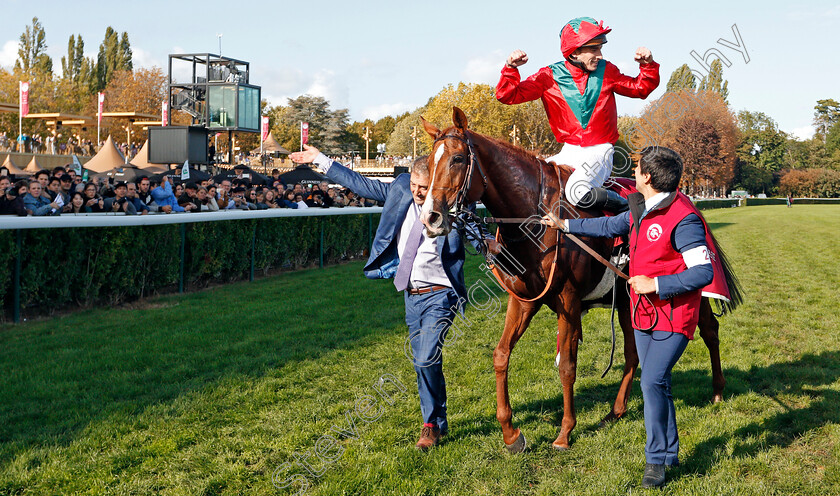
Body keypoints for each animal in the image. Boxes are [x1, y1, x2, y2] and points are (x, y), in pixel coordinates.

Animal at [420, 108, 740, 454]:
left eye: (457, 159)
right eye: (429, 163)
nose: (430, 218)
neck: (532, 220)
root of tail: (688, 199)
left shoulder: (569, 302)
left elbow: (567, 366)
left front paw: (564, 432)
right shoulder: (522, 301)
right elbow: (501, 355)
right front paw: (510, 433)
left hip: (692, 290)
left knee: (709, 330)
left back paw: (718, 389)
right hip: (628, 301)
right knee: (632, 352)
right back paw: (616, 410)